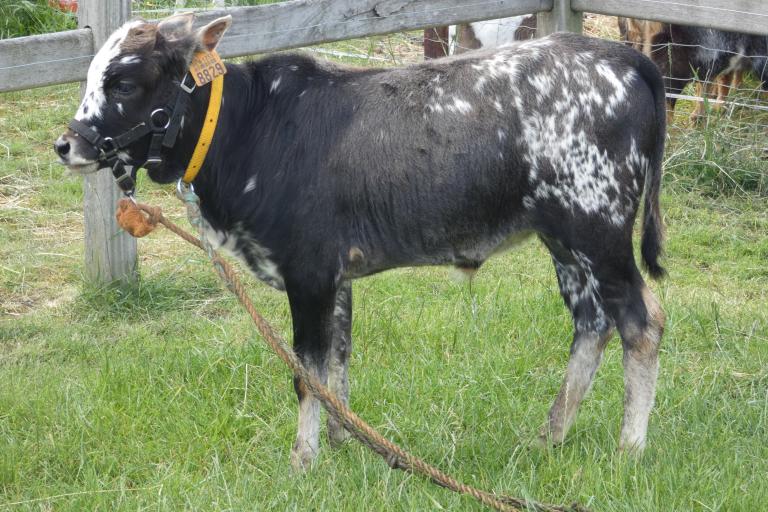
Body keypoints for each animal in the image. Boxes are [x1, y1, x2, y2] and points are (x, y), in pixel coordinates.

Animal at [54, 13, 664, 468]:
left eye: (123, 83)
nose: (67, 144)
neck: (250, 129)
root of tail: (620, 56)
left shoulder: (308, 275)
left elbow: (307, 374)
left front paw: (303, 459)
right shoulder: (337, 280)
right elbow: (336, 364)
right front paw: (344, 442)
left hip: (598, 229)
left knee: (642, 322)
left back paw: (629, 449)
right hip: (563, 242)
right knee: (592, 324)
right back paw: (550, 437)